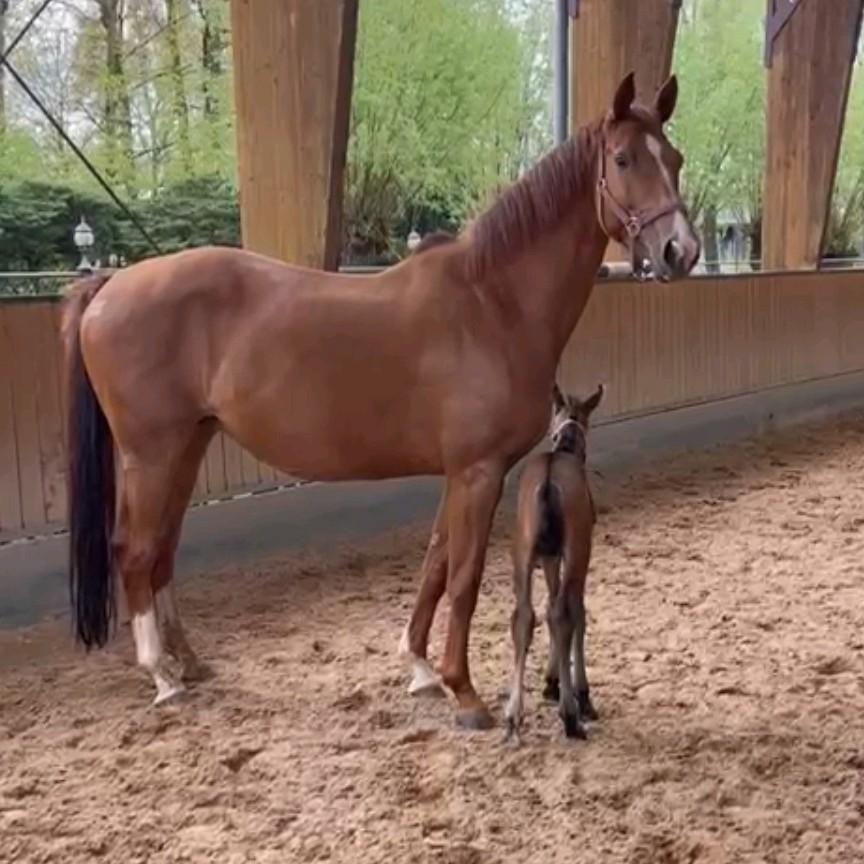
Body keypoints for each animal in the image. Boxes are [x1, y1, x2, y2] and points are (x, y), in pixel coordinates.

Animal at [505, 383, 604, 743]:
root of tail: (548, 481)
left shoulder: (548, 557)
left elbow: (547, 607)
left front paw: (551, 682)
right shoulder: (576, 554)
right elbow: (576, 613)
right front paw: (581, 694)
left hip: (522, 553)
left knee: (523, 616)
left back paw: (513, 715)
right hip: (576, 552)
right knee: (565, 614)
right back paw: (571, 715)